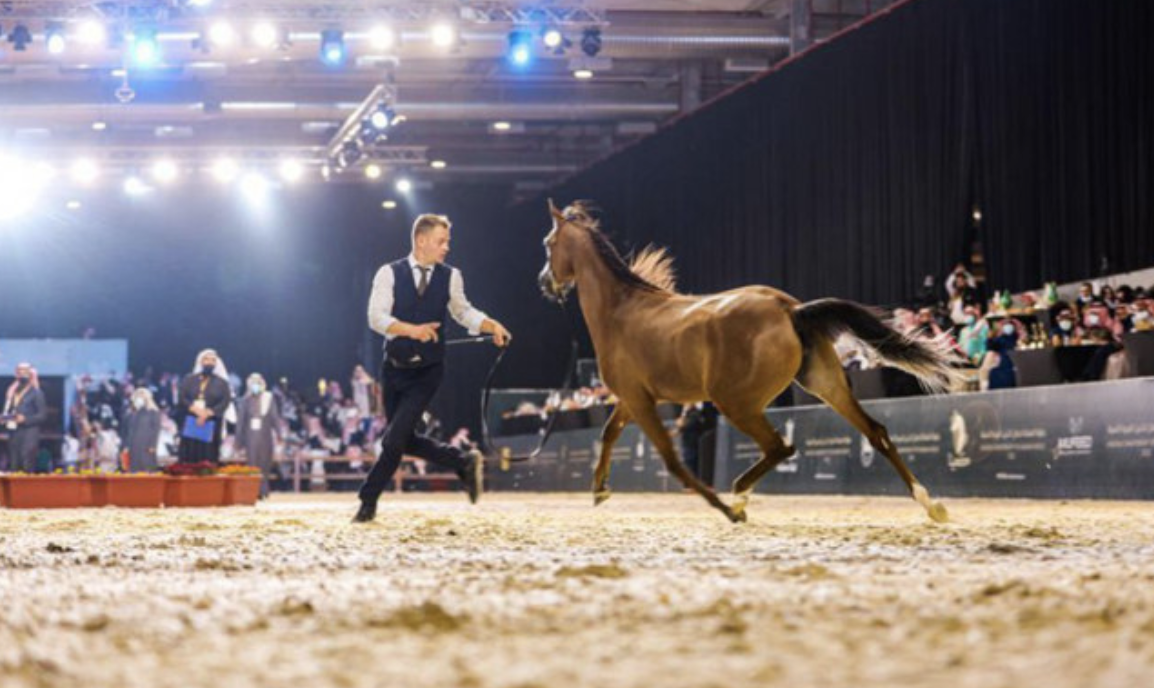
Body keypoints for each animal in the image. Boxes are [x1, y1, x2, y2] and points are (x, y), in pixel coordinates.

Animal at [537, 199, 964, 524]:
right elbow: (609, 433)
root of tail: (790, 309)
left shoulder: (640, 400)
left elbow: (672, 460)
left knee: (781, 448)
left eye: (548, 243)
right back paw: (932, 505)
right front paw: (599, 489)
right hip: (826, 385)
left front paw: (723, 508)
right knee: (876, 432)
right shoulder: (632, 398)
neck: (621, 311)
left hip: (737, 403)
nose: (544, 283)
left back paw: (738, 499)